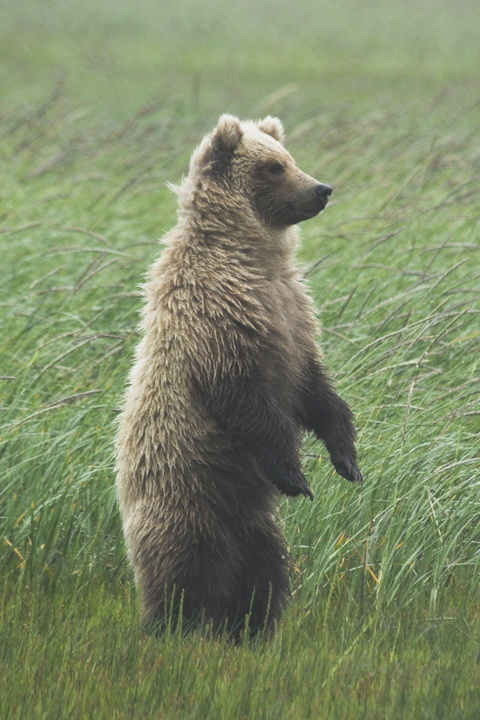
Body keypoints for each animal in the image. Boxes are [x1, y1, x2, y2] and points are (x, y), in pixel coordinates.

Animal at [115, 115, 360, 644]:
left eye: (289, 158)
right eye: (273, 167)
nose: (322, 189)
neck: (251, 256)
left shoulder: (293, 315)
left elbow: (316, 390)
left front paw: (348, 460)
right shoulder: (218, 319)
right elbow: (247, 399)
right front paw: (295, 475)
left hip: (256, 526)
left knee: (265, 573)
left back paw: (251, 630)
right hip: (185, 497)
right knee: (181, 569)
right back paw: (171, 626)